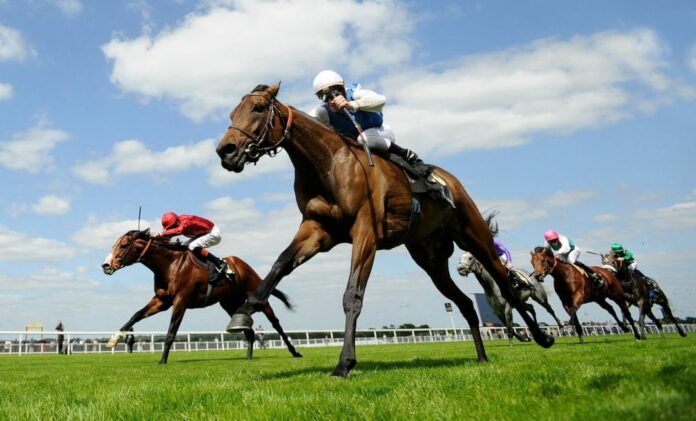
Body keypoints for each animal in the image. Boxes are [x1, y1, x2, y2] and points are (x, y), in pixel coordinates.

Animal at [100, 228, 302, 362]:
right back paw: (249, 357)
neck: (170, 264)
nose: (106, 265)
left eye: (123, 245)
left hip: (256, 296)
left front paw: (162, 361)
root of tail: (242, 265)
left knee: (276, 324)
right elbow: (135, 315)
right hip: (230, 303)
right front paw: (113, 339)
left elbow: (171, 332)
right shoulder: (161, 300)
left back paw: (295, 352)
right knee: (250, 331)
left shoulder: (180, 301)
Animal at [215, 83, 552, 376]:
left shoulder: (365, 232)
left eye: (258, 108)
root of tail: (451, 180)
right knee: (466, 302)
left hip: (474, 236)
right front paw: (243, 312)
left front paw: (345, 364)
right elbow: (281, 263)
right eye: (232, 113)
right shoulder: (317, 230)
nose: (225, 151)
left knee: (505, 285)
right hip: (430, 259)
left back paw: (541, 337)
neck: (328, 163)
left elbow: (352, 295)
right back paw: (482, 357)